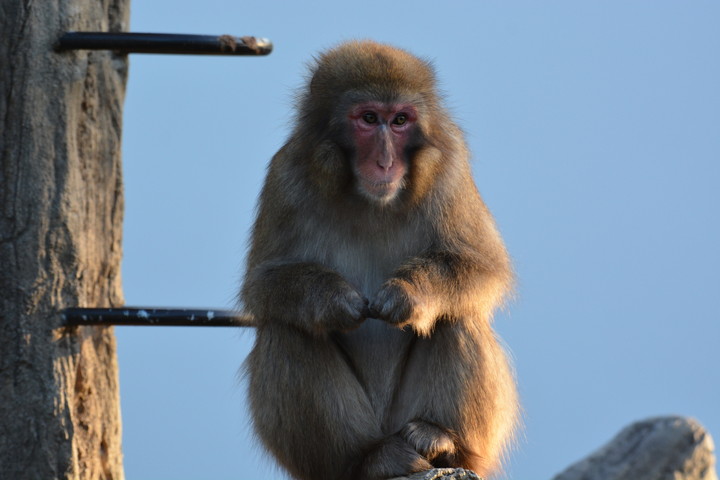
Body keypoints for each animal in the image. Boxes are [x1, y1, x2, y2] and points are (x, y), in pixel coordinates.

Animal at [242, 41, 516, 480]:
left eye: (400, 120)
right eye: (369, 119)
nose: (386, 161)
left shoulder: (451, 168)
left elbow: (482, 266)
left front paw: (409, 295)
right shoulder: (286, 176)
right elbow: (263, 284)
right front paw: (333, 300)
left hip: (415, 420)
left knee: (457, 314)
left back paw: (440, 440)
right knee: (288, 329)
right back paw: (371, 458)